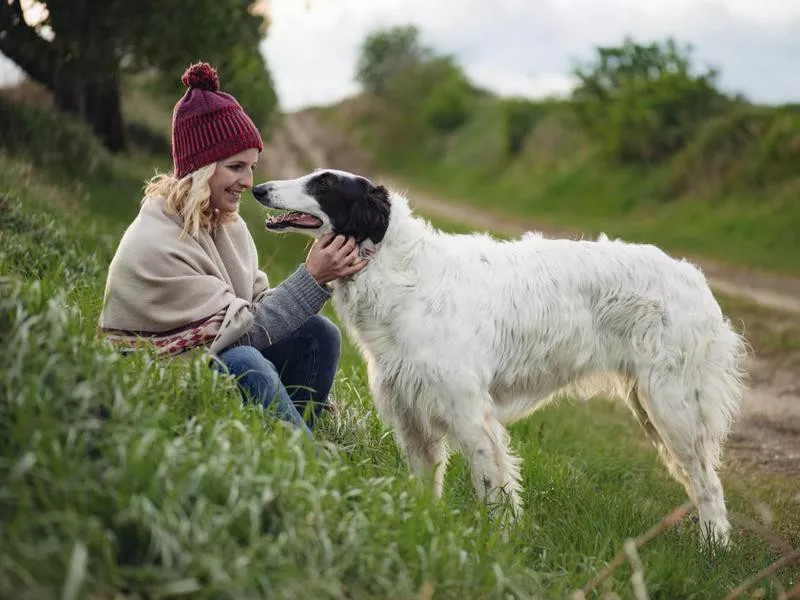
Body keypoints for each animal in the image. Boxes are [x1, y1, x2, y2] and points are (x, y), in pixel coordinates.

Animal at [253, 168, 748, 544]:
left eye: (324, 184)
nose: (259, 189)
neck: (404, 274)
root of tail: (694, 278)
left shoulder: (470, 415)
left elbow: (494, 490)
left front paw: (498, 544)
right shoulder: (412, 416)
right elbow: (426, 489)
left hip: (673, 407)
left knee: (710, 486)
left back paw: (714, 550)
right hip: (652, 407)